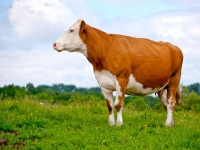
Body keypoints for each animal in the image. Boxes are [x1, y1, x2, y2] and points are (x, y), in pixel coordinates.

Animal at [52, 18, 183, 126]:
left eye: (71, 30)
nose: (54, 44)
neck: (105, 50)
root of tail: (174, 47)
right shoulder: (103, 84)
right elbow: (110, 106)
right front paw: (111, 123)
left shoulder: (122, 80)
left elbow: (118, 105)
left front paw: (119, 124)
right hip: (162, 86)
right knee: (166, 104)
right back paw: (171, 123)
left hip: (174, 79)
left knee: (171, 102)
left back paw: (168, 124)